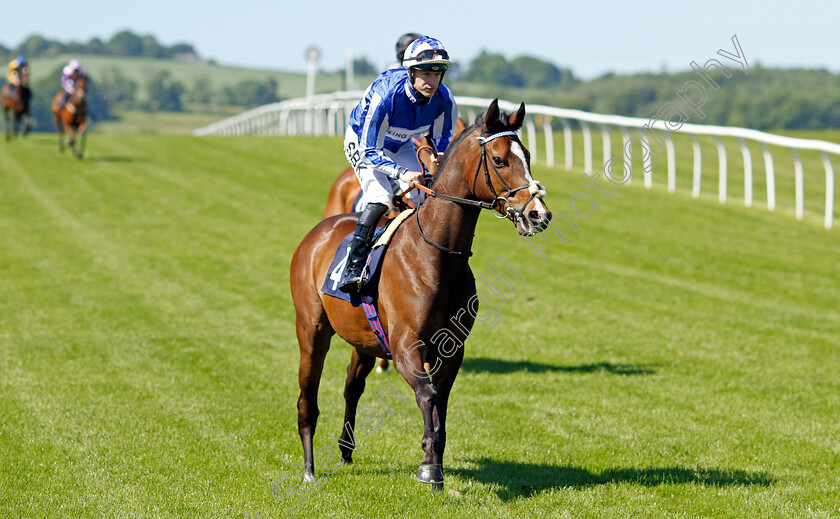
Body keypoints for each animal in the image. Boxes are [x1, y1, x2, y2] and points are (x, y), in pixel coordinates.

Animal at [288, 98, 552, 492]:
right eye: (501, 160)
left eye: (530, 156)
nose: (539, 214)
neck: (437, 255)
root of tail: (316, 233)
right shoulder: (405, 346)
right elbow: (427, 395)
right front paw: (429, 468)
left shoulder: (451, 349)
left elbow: (439, 402)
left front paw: (434, 463)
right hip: (312, 331)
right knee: (308, 397)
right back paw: (308, 469)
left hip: (364, 340)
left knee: (352, 386)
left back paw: (346, 450)